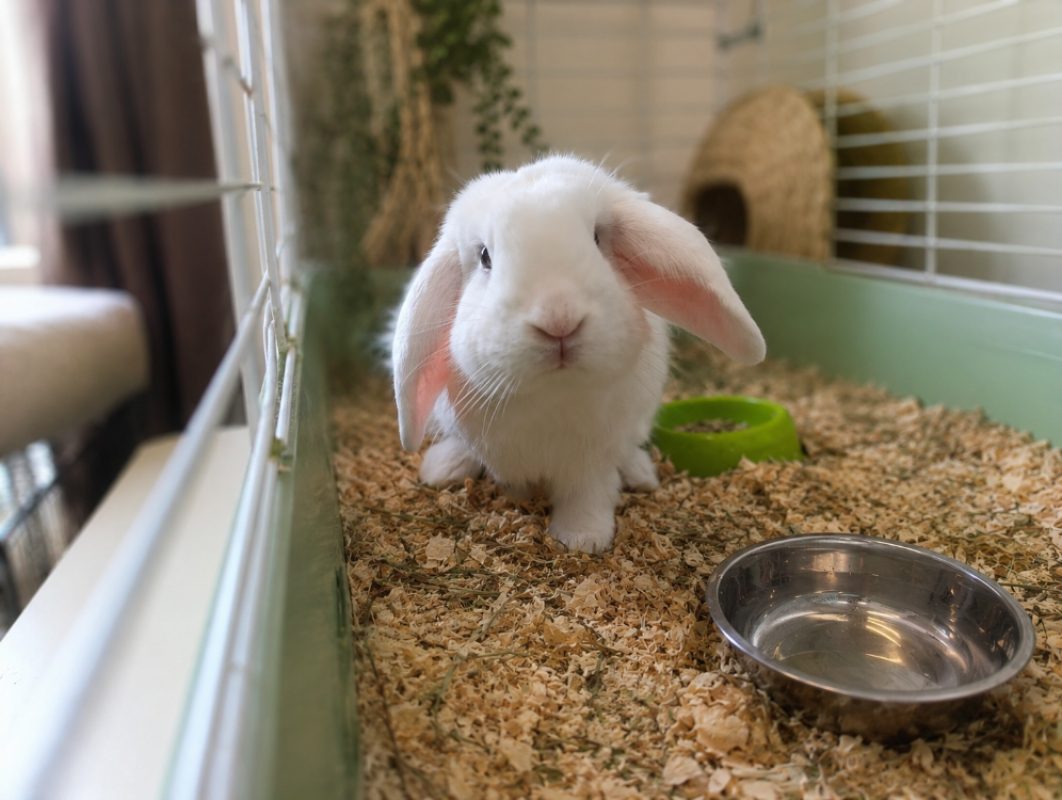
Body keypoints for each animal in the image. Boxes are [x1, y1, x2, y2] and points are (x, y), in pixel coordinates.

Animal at [391, 155, 765, 553]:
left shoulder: (592, 461)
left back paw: (641, 474)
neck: (555, 391)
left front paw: (583, 539)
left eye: (598, 239)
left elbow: (589, 494)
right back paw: (441, 469)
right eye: (485, 257)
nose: (559, 320)